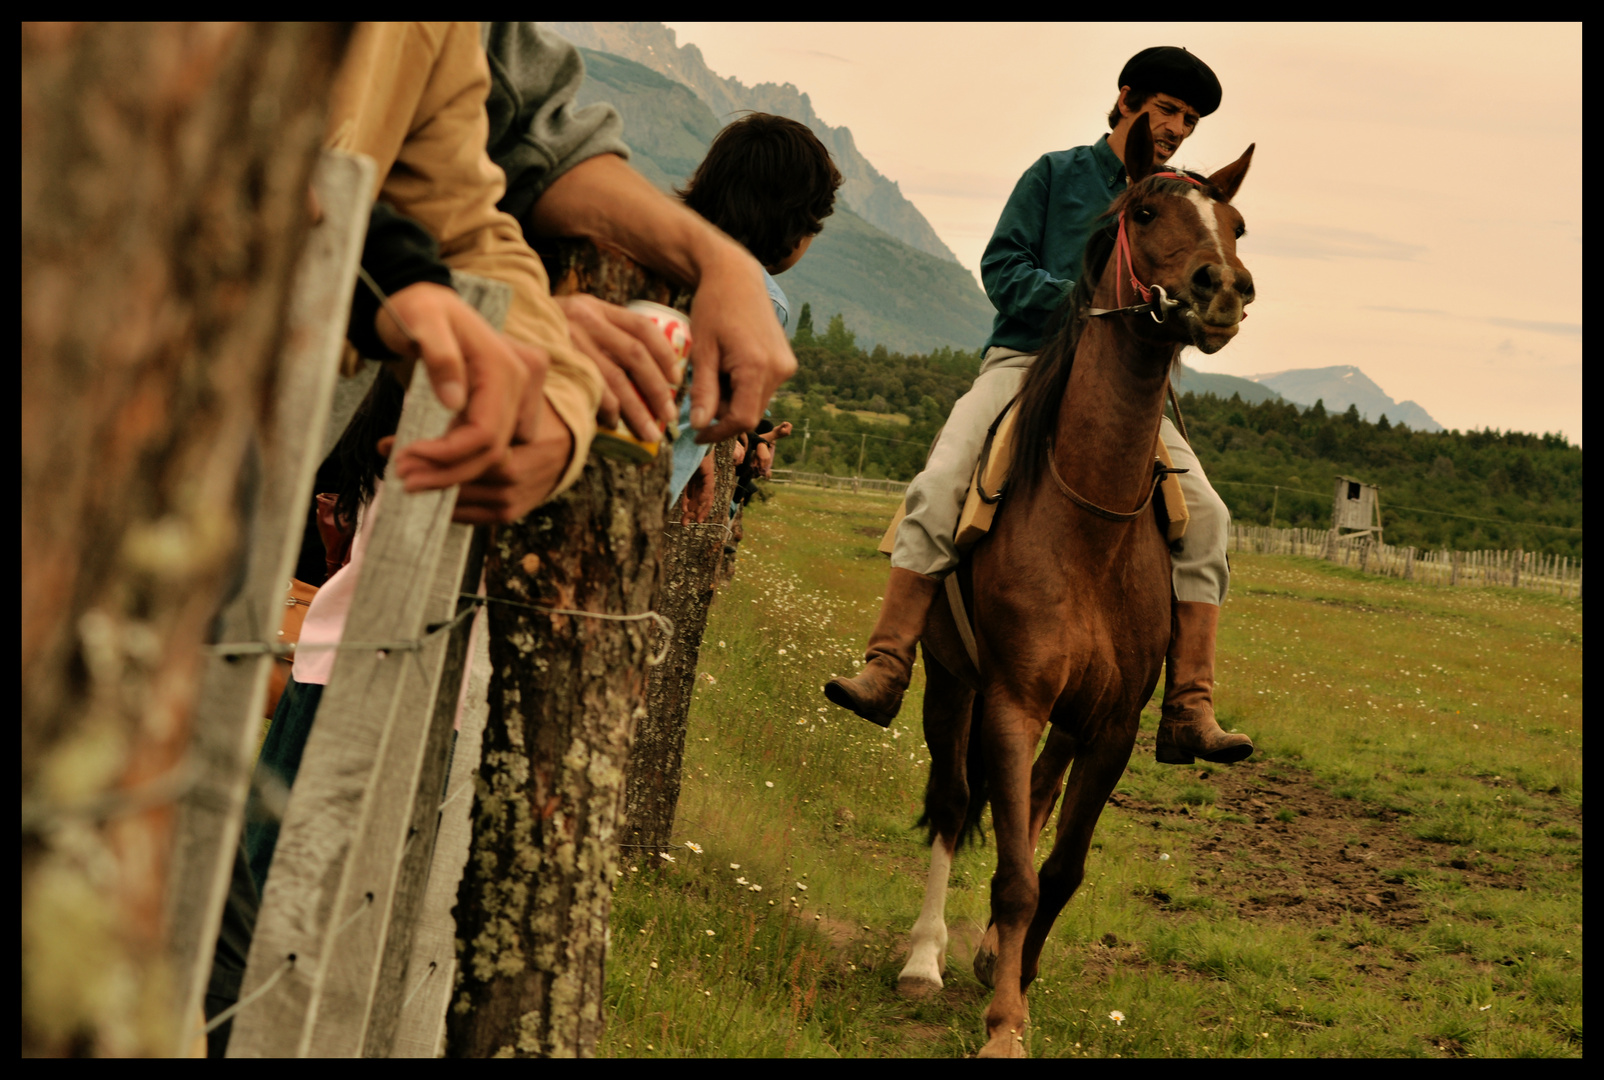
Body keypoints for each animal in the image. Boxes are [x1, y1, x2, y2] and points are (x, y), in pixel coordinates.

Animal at [891, 117, 1251, 1052]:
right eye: (1149, 211)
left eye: (1237, 225)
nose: (1224, 290)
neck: (1090, 521)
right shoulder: (1010, 702)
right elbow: (1012, 868)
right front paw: (1002, 1025)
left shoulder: (1113, 724)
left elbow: (1056, 868)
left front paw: (1014, 978)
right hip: (950, 685)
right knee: (953, 803)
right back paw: (925, 957)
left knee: (1033, 802)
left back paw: (987, 952)